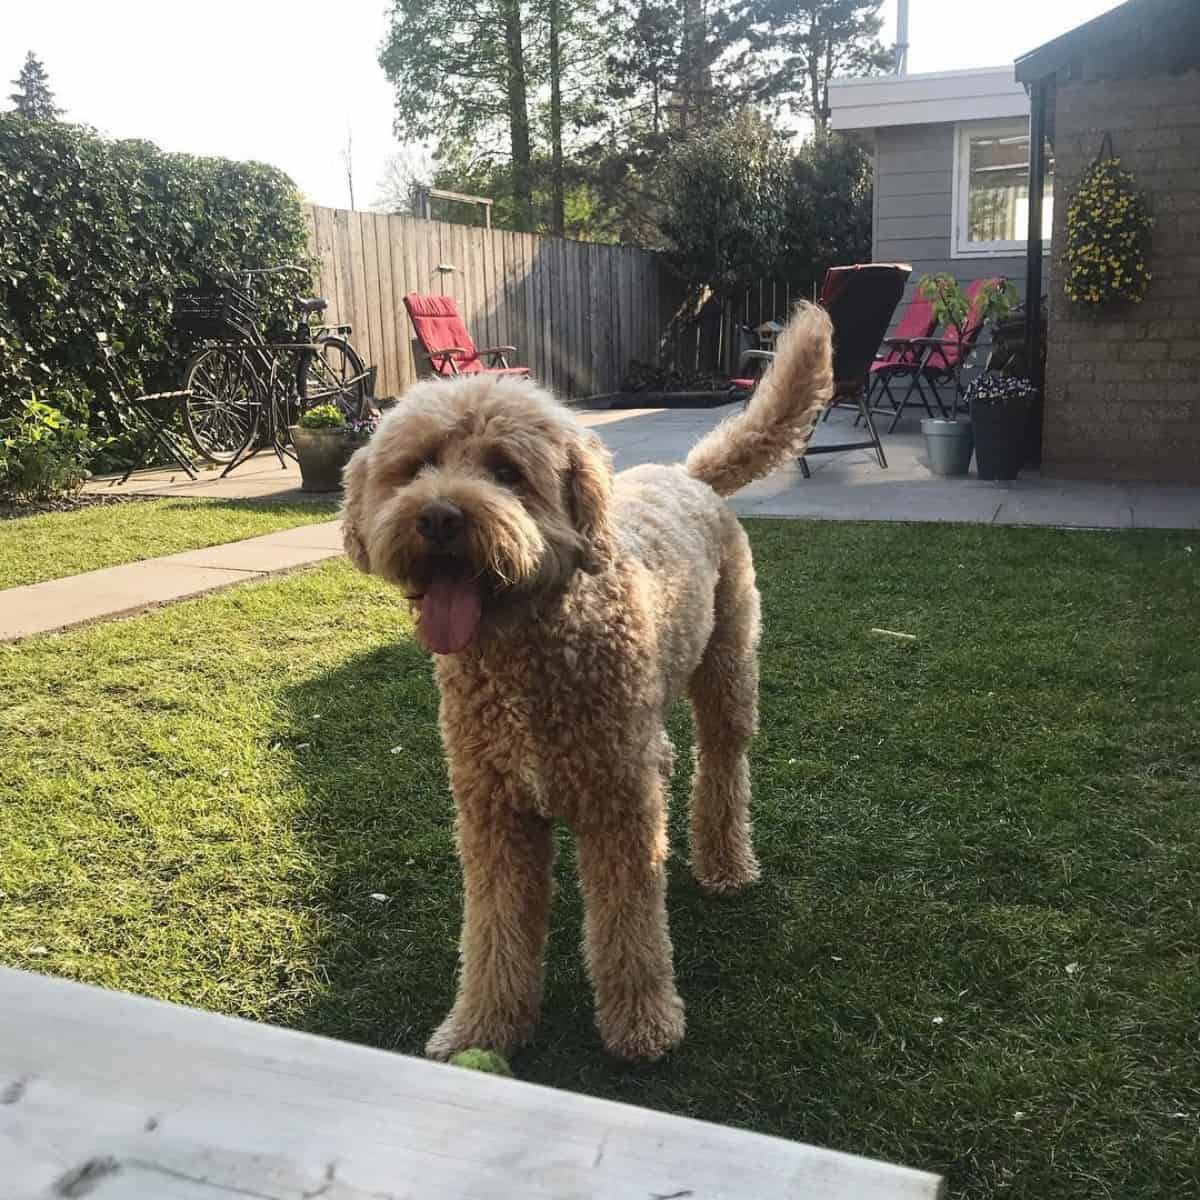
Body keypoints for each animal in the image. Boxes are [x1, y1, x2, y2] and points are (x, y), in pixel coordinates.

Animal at [340, 300, 835, 1060]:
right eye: (417, 465)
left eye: (508, 471)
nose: (440, 516)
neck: (527, 653)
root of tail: (689, 474)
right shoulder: (494, 813)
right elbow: (494, 930)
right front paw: (483, 1023)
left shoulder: (614, 809)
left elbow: (629, 924)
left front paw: (642, 1023)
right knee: (667, 757)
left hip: (727, 672)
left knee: (723, 763)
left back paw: (725, 864)